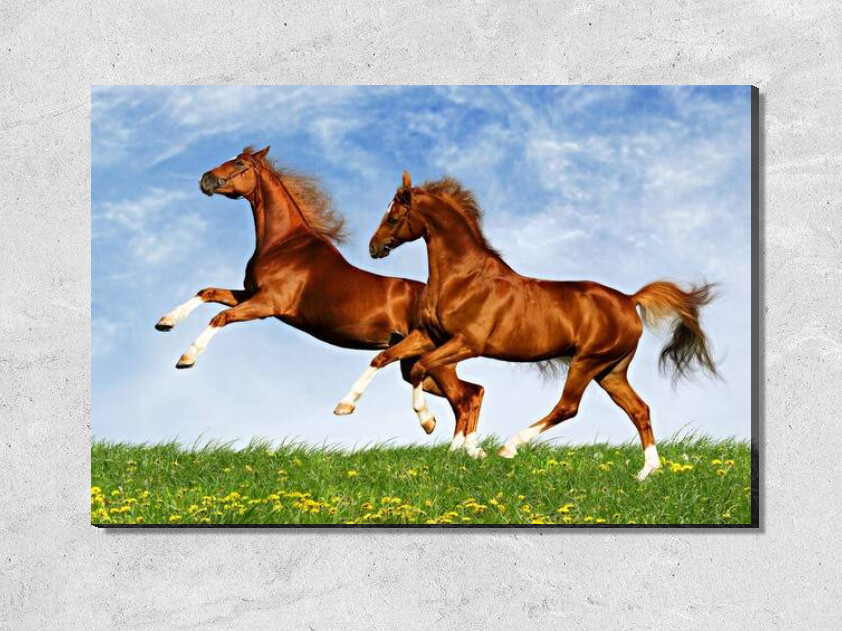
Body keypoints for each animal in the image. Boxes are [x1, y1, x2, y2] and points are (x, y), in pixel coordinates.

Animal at [155, 148, 485, 450]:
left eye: (238, 163)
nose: (205, 179)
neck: (283, 244)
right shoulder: (249, 295)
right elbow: (207, 292)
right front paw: (165, 322)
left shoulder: (266, 304)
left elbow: (219, 317)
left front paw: (186, 358)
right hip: (415, 363)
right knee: (472, 392)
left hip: (433, 361)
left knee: (465, 398)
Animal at [337, 171, 718, 479]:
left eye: (393, 217)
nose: (373, 248)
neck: (463, 279)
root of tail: (628, 299)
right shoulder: (430, 336)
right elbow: (382, 358)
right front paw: (344, 406)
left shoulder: (466, 343)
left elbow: (423, 370)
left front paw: (430, 423)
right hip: (611, 370)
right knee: (639, 409)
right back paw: (647, 472)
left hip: (587, 362)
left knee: (568, 407)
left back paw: (509, 446)